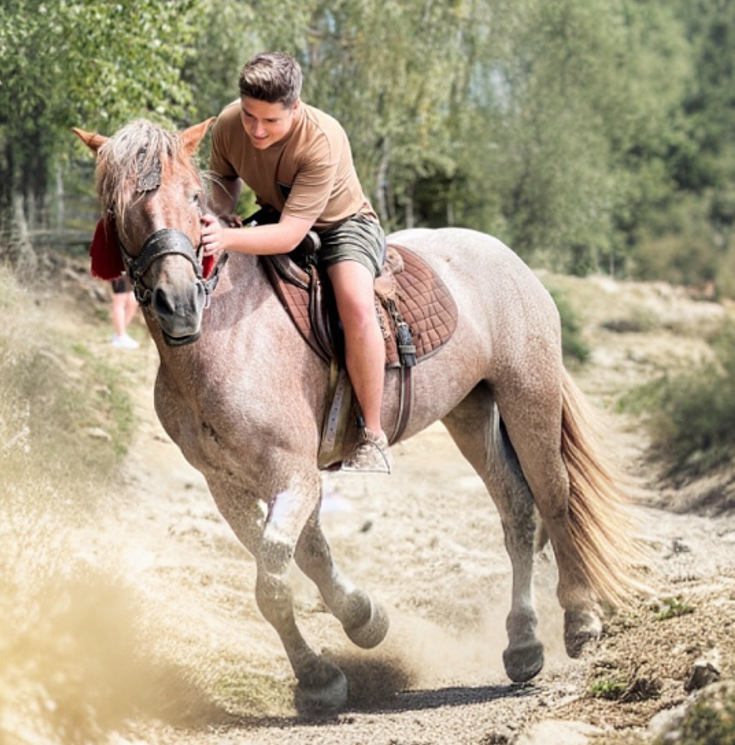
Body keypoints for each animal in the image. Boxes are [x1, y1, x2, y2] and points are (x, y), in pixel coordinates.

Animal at [70, 116, 644, 708]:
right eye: (115, 207)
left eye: (192, 197)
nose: (177, 303)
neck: (225, 333)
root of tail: (506, 258)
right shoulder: (227, 484)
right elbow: (307, 558)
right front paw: (355, 630)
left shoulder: (293, 474)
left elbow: (274, 580)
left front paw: (323, 671)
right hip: (470, 412)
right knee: (517, 509)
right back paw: (524, 643)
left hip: (529, 395)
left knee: (554, 496)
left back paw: (580, 620)